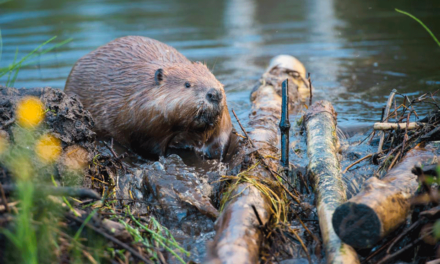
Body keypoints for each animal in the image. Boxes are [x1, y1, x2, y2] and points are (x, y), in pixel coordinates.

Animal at [64, 36, 234, 160]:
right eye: (187, 84)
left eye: (213, 77)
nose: (215, 94)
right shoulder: (144, 123)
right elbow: (149, 148)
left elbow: (222, 138)